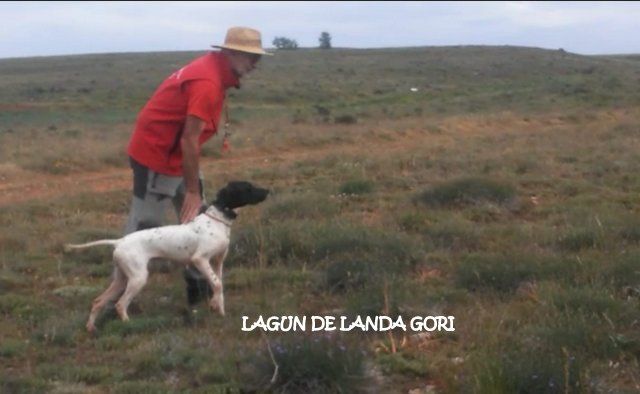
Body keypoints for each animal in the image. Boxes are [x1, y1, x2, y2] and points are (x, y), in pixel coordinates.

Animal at [63, 182, 268, 332]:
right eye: (247, 188)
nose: (267, 190)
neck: (217, 220)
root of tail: (120, 241)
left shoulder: (218, 262)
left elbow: (219, 286)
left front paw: (219, 310)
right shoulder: (200, 259)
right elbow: (217, 284)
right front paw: (214, 306)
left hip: (122, 279)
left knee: (98, 301)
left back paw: (91, 327)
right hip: (138, 278)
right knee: (120, 304)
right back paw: (129, 325)